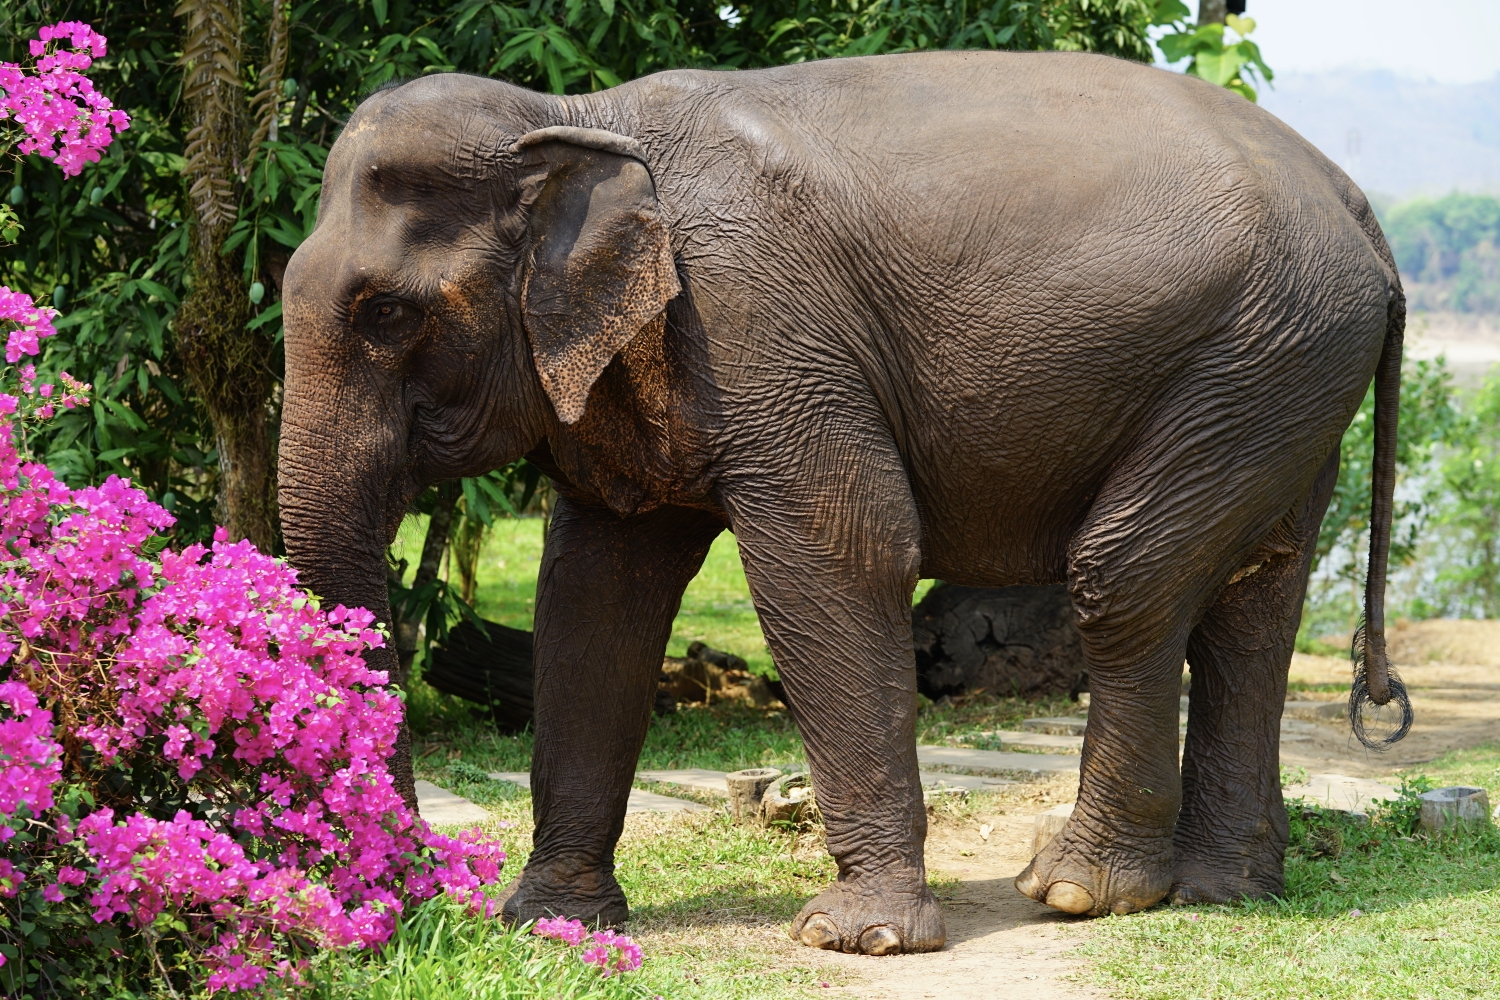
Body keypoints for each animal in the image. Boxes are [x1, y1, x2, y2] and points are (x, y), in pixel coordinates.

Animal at [279, 50, 1404, 959]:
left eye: (387, 313)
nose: (424, 901)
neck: (574, 113)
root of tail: (1356, 199)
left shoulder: (761, 323)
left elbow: (845, 551)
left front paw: (860, 939)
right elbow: (595, 599)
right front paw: (551, 923)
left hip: (1263, 351)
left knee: (1128, 574)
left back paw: (1082, 889)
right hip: (1292, 366)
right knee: (1257, 595)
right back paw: (1224, 891)